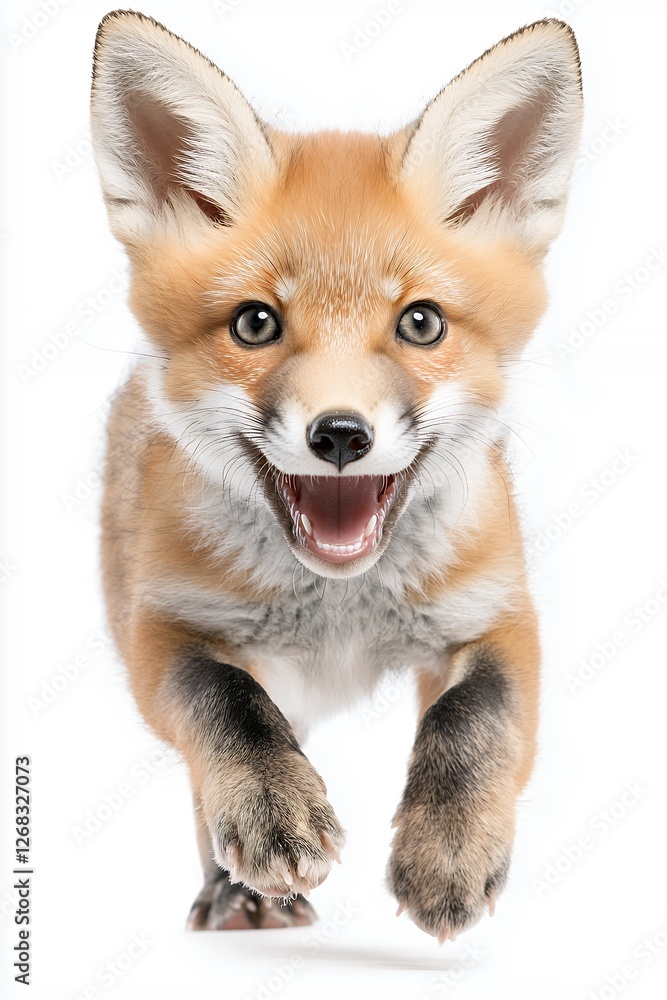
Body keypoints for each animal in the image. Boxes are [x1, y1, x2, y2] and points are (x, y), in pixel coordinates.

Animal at [90, 11, 583, 940]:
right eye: (255, 324)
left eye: (420, 323)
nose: (342, 436)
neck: (340, 607)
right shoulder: (162, 627)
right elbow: (224, 706)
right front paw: (268, 810)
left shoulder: (497, 614)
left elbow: (476, 718)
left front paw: (447, 850)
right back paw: (234, 888)